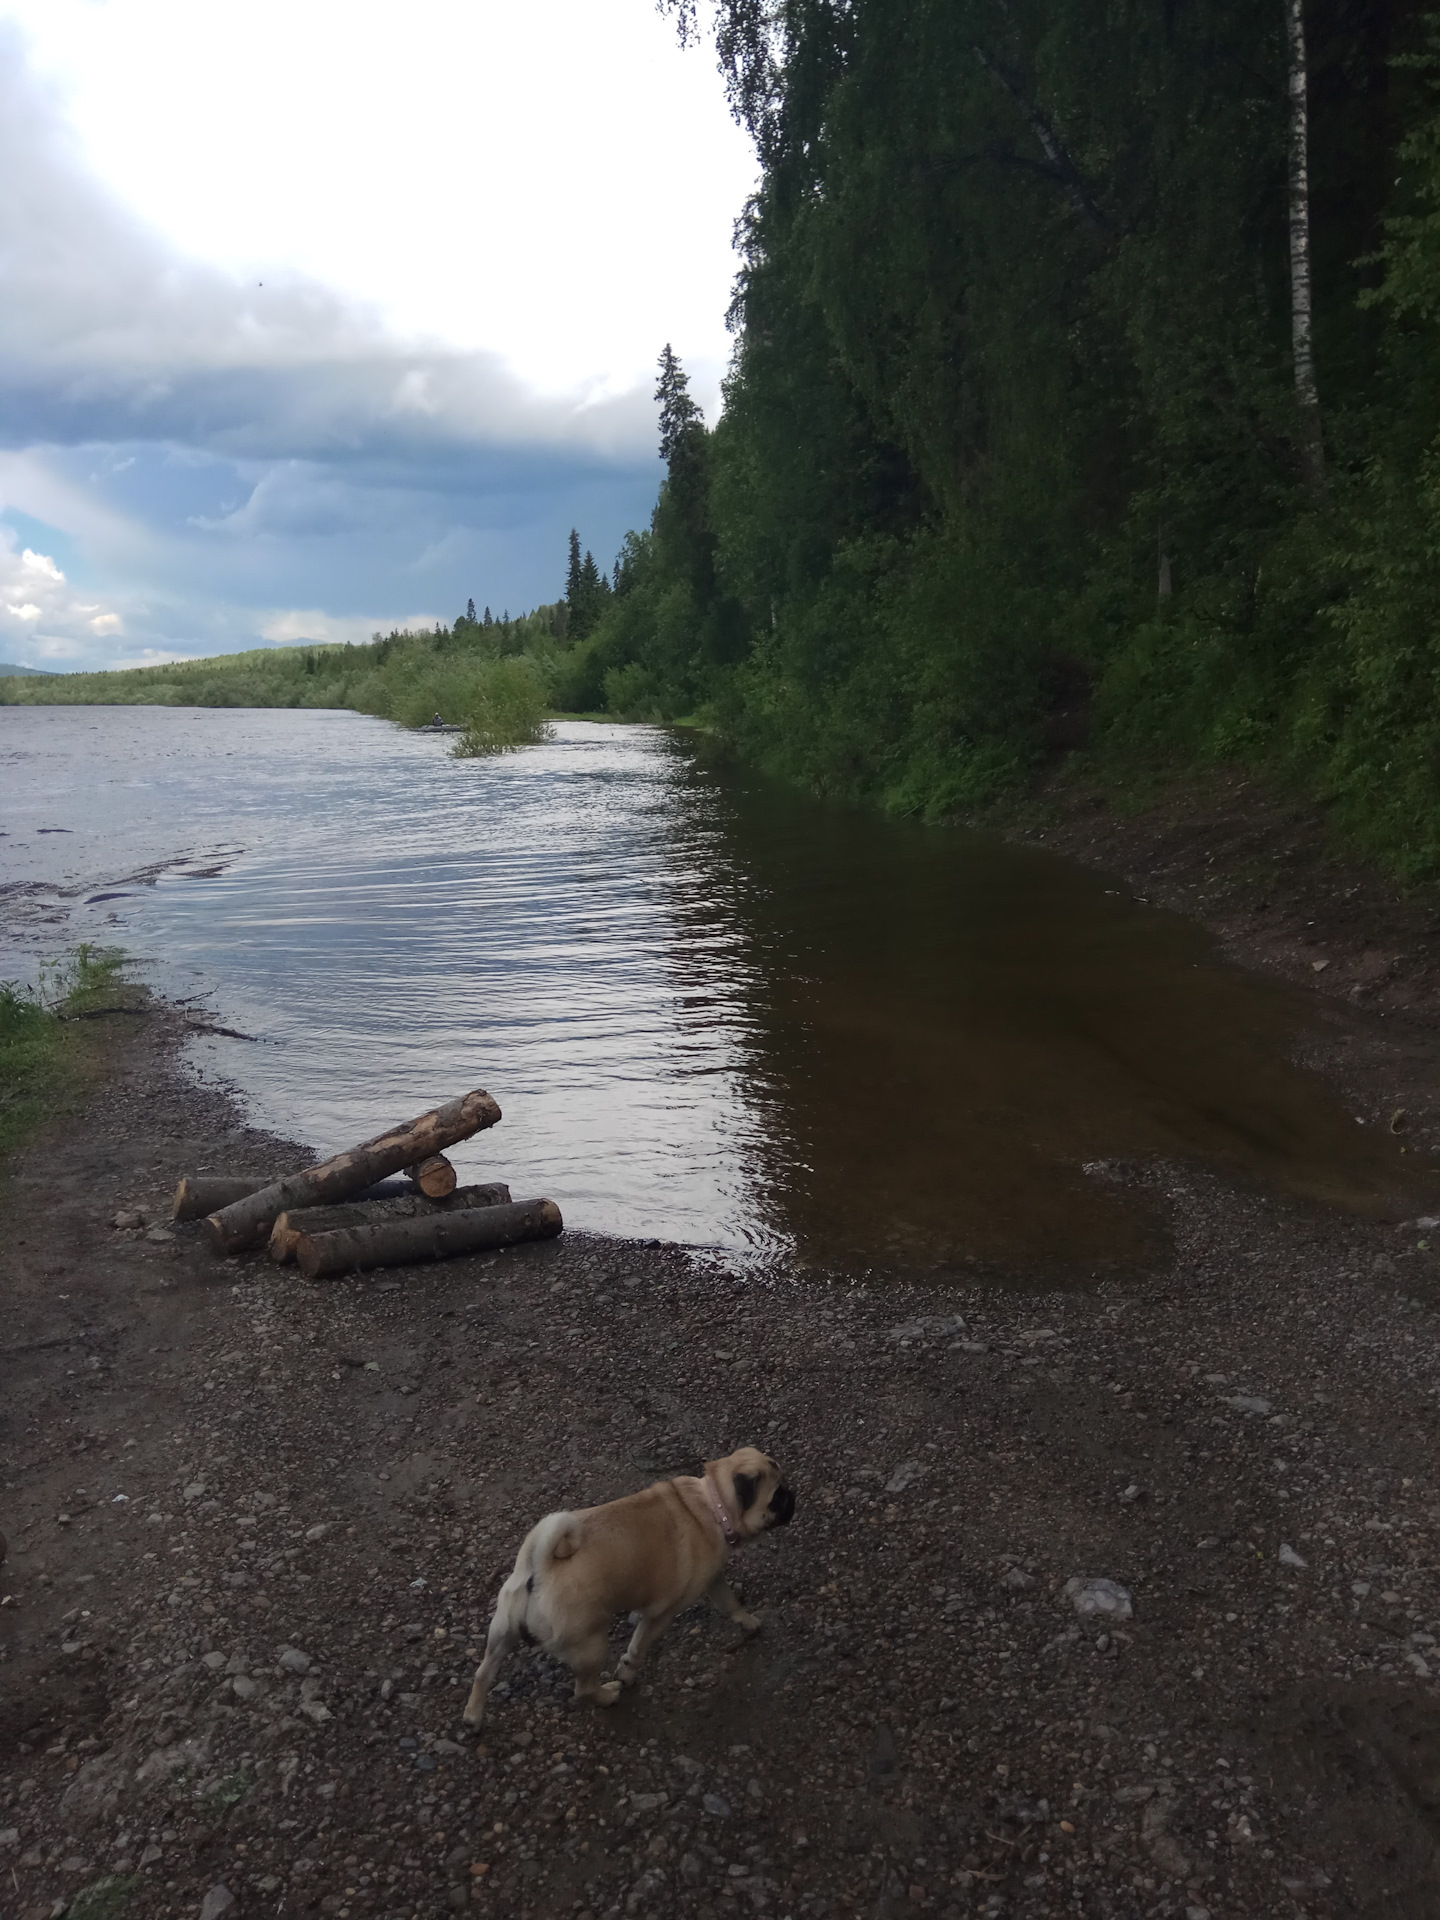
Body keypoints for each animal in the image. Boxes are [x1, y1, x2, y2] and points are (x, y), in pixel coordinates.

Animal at [464, 1443, 794, 1728]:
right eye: (777, 1496)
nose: (793, 1497)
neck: (714, 1505)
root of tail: (540, 1569)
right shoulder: (660, 1614)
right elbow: (637, 1648)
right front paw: (627, 1673)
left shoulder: (714, 1580)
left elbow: (730, 1604)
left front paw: (748, 1622)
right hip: (591, 1644)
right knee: (583, 1689)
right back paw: (608, 1694)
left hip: (502, 1632)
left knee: (483, 1672)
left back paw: (473, 1717)